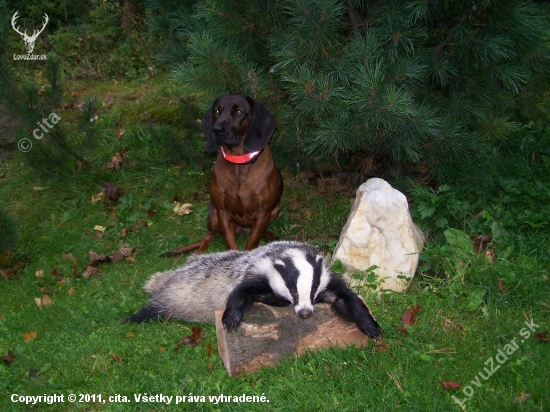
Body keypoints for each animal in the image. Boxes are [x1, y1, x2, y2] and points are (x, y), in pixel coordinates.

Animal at [162, 95, 284, 256]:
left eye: (239, 111)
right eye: (217, 111)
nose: (217, 130)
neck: (238, 163)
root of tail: (241, 229)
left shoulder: (263, 213)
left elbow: (252, 241)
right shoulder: (222, 212)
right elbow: (230, 243)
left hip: (275, 210)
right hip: (213, 214)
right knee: (208, 236)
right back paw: (199, 253)